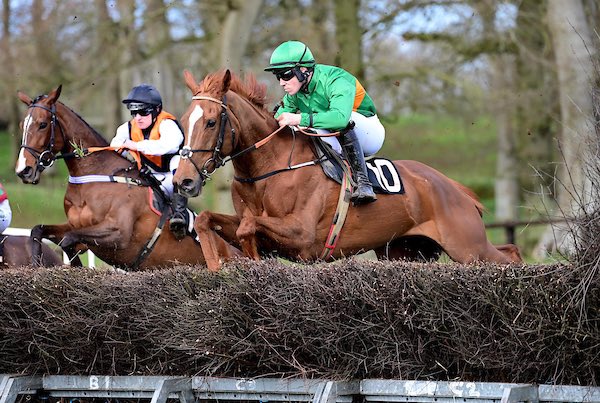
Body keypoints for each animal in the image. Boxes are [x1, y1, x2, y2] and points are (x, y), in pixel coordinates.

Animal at [15, 85, 206, 270]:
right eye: (21, 125)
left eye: (42, 124)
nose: (24, 170)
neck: (95, 175)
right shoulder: (75, 225)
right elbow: (38, 231)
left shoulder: (119, 233)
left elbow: (68, 239)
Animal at [172, 70, 520, 272]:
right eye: (185, 119)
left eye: (211, 121)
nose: (183, 180)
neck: (268, 168)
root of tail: (455, 188)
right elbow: (207, 220)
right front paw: (219, 265)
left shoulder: (303, 236)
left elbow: (248, 226)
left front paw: (250, 258)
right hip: (405, 251)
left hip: (468, 246)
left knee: (511, 253)